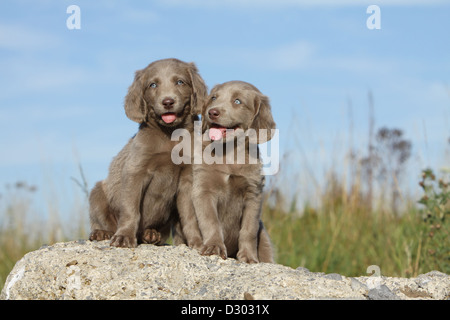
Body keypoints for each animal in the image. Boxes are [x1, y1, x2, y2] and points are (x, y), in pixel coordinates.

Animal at [89, 58, 276, 264]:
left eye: (180, 82)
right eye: (152, 85)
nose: (168, 101)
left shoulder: (193, 181)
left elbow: (196, 218)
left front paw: (199, 243)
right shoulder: (136, 170)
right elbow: (131, 207)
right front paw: (124, 237)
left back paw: (150, 234)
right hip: (97, 192)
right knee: (102, 219)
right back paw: (102, 233)